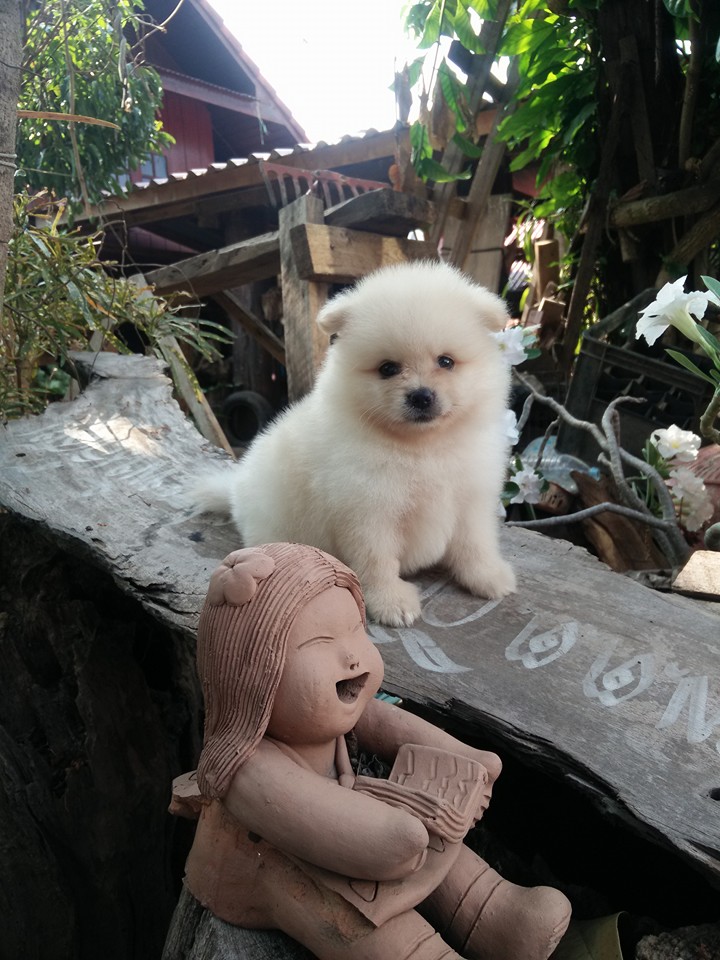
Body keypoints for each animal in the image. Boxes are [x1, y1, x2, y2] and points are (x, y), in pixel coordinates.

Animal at [191, 260, 516, 626]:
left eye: (446, 361)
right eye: (388, 368)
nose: (421, 395)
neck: (423, 447)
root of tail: (235, 492)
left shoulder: (470, 500)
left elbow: (476, 545)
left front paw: (488, 577)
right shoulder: (368, 512)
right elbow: (377, 562)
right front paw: (390, 602)